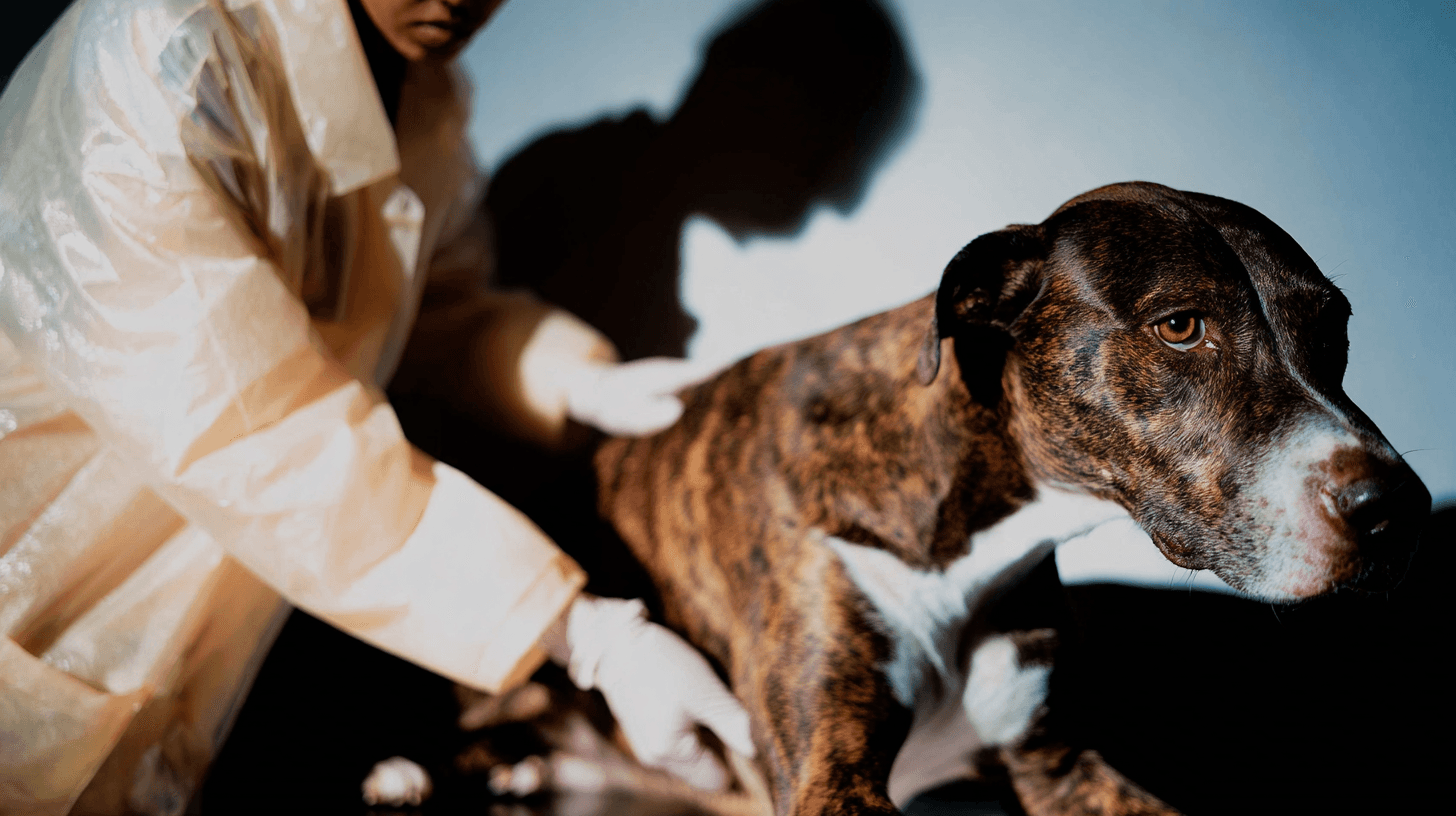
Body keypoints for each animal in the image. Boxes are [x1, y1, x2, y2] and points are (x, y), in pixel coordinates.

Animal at [587, 181, 1432, 816]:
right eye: (1180, 327)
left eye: (1336, 331)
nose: (1394, 509)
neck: (967, 535)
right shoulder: (830, 773)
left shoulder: (1059, 767)